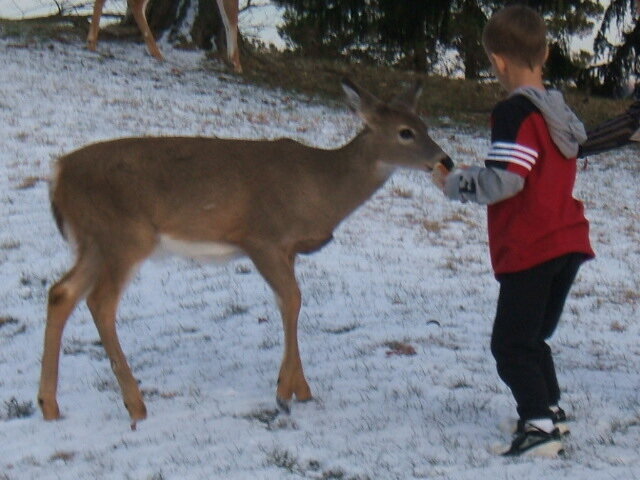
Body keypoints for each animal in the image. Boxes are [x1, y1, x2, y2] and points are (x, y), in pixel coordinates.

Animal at [37, 79, 452, 432]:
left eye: (425, 123)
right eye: (405, 131)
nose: (446, 160)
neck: (319, 189)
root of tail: (57, 173)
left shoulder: (287, 249)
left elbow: (288, 303)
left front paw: (299, 387)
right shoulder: (261, 237)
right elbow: (292, 300)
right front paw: (285, 393)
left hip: (94, 240)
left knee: (61, 292)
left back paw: (49, 405)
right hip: (125, 236)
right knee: (100, 302)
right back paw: (135, 405)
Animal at [87, 0, 242, 73]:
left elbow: (227, 20)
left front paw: (232, 60)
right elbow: (232, 20)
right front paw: (237, 65)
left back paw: (92, 42)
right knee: (136, 4)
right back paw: (157, 53)